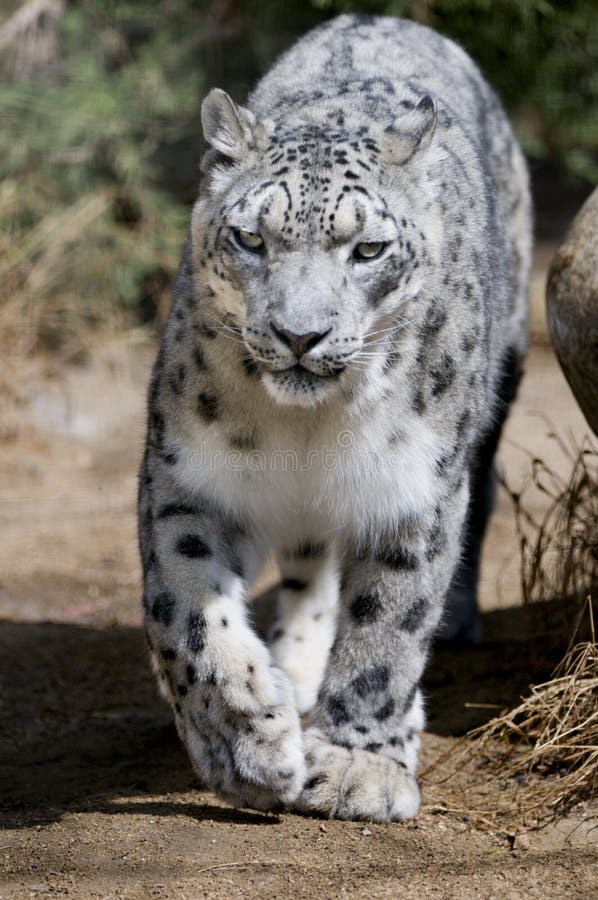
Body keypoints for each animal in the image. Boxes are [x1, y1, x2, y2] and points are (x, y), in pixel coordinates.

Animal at [138, 12, 532, 824]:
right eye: (250, 238)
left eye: (369, 249)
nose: (300, 335)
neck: (310, 428)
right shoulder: (186, 474)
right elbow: (186, 610)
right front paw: (246, 742)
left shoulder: (413, 486)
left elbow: (389, 623)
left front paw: (357, 767)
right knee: (310, 557)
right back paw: (292, 663)